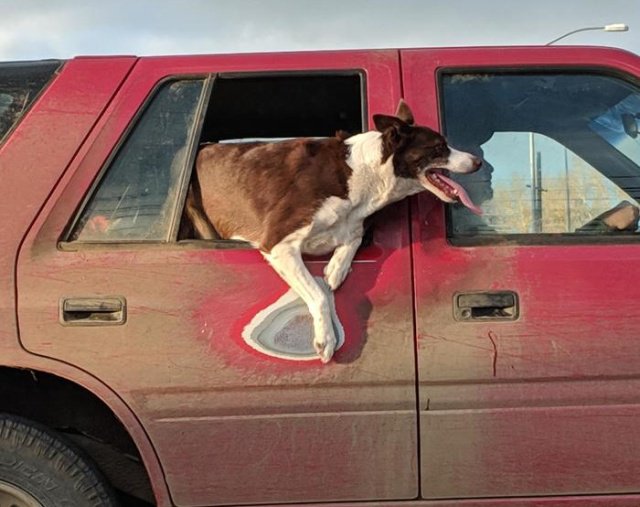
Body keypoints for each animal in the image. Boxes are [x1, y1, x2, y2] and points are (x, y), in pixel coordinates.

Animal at [184, 100, 480, 362]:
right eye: (439, 147)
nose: (478, 161)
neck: (366, 173)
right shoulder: (278, 244)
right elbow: (318, 294)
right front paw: (325, 339)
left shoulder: (352, 224)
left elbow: (352, 238)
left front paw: (337, 268)